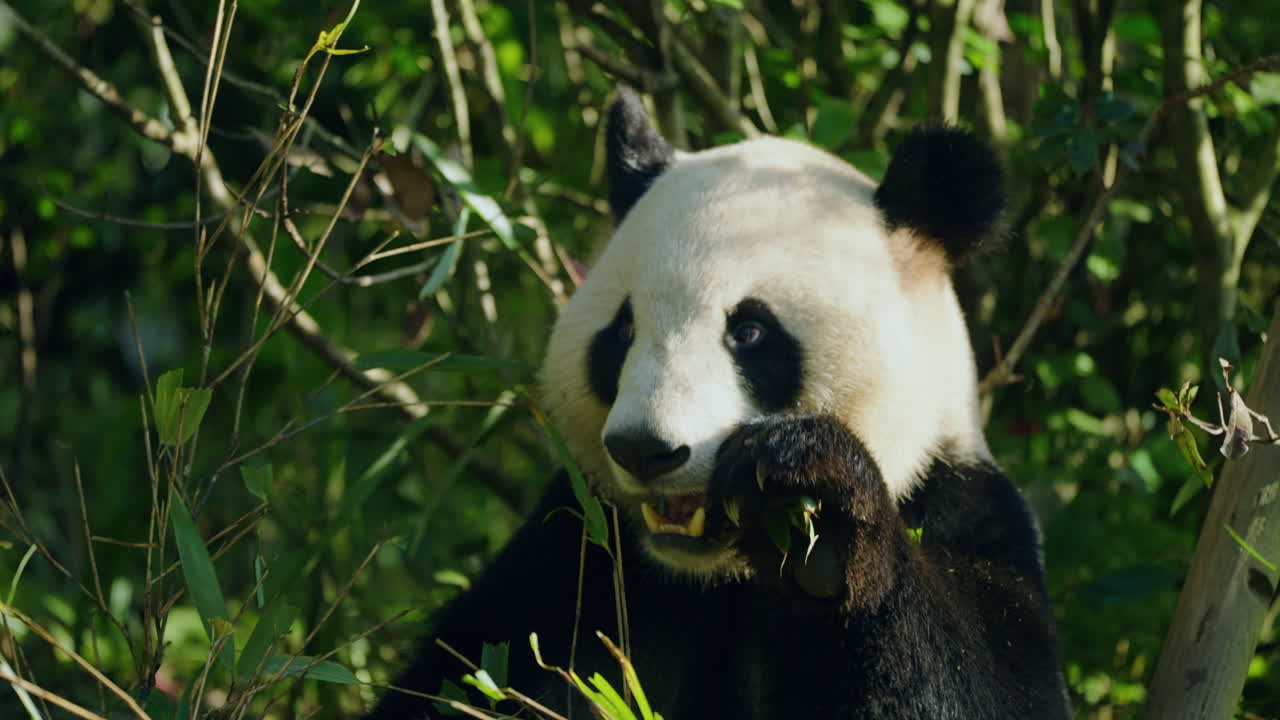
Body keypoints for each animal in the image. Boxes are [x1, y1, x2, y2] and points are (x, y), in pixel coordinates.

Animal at [367, 88, 1070, 719]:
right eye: (622, 331)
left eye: (750, 332)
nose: (645, 450)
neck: (714, 578)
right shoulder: (577, 560)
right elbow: (469, 675)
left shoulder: (963, 508)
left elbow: (997, 687)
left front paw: (822, 522)